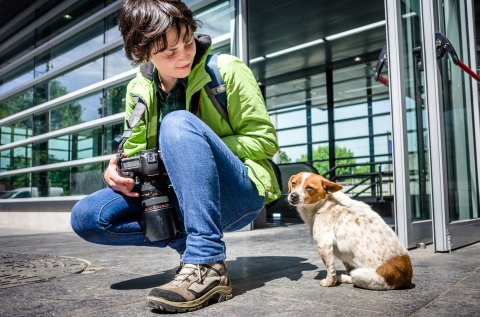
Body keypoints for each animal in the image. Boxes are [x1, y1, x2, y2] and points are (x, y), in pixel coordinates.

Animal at [286, 170, 414, 288]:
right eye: (294, 183)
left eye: (309, 188)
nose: (293, 196)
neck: (324, 203)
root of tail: (406, 278)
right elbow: (346, 265)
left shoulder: (324, 244)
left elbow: (330, 268)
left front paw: (329, 282)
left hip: (361, 274)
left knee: (353, 277)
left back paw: (341, 278)